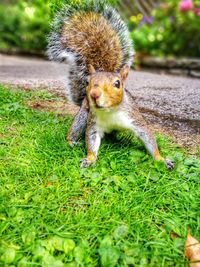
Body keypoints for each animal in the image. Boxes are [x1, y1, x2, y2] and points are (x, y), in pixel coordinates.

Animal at [47, 0, 173, 170]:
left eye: (117, 83)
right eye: (87, 82)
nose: (94, 94)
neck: (110, 111)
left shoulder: (136, 120)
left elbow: (149, 139)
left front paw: (161, 159)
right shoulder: (93, 124)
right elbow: (91, 141)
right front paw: (89, 159)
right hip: (84, 115)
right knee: (75, 129)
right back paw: (71, 141)